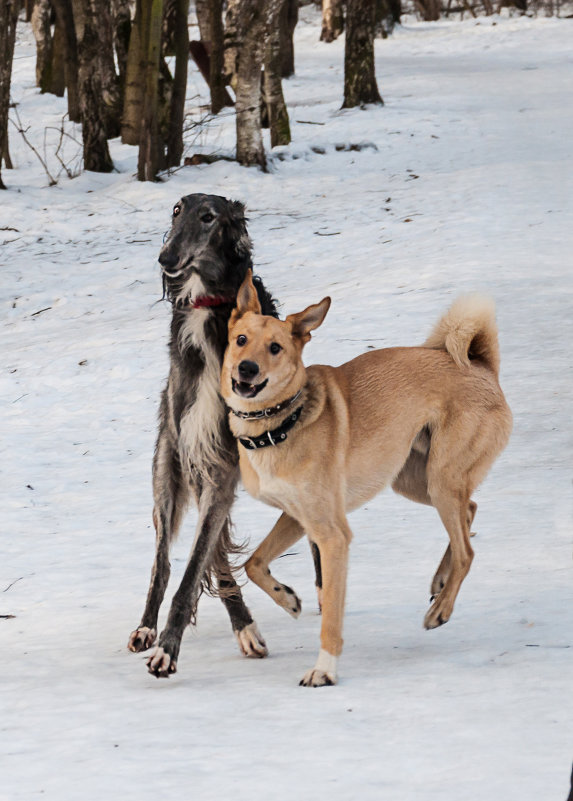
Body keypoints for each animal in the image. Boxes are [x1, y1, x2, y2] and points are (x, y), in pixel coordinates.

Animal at [127, 194, 278, 676]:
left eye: (208, 217)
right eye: (175, 211)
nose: (166, 257)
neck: (206, 306)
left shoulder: (223, 464)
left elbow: (199, 564)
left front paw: (171, 647)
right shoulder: (200, 456)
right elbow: (194, 565)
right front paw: (166, 645)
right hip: (166, 472)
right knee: (162, 563)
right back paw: (146, 626)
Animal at [221, 272, 512, 684]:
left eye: (275, 348)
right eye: (241, 339)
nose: (246, 368)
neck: (281, 424)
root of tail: (481, 365)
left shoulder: (332, 535)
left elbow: (330, 615)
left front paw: (324, 671)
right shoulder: (296, 517)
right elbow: (253, 563)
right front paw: (287, 598)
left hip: (441, 480)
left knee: (467, 551)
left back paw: (441, 609)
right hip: (413, 480)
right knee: (469, 510)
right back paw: (440, 582)